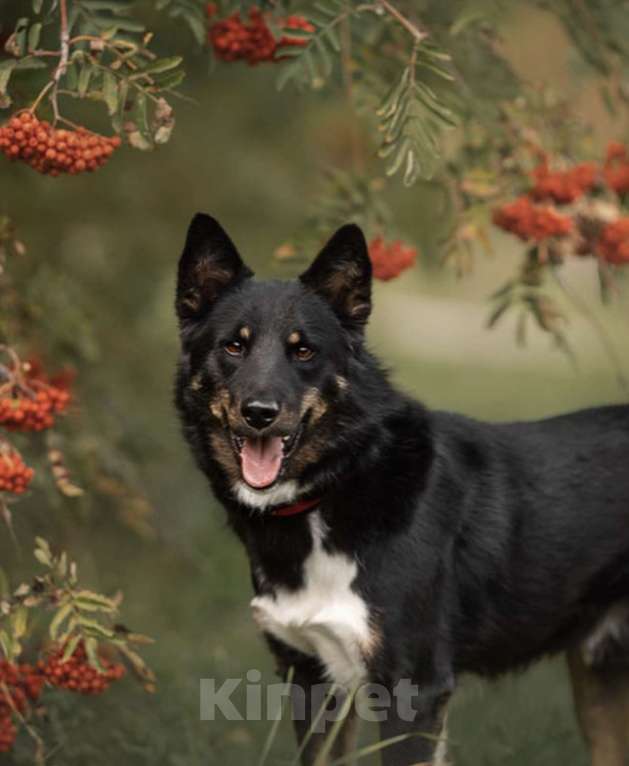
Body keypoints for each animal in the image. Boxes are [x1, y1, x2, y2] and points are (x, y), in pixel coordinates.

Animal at [174, 214, 628, 766]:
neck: (342, 482)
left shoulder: (414, 689)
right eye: (233, 346)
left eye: (303, 350)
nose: (259, 413)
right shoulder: (314, 684)